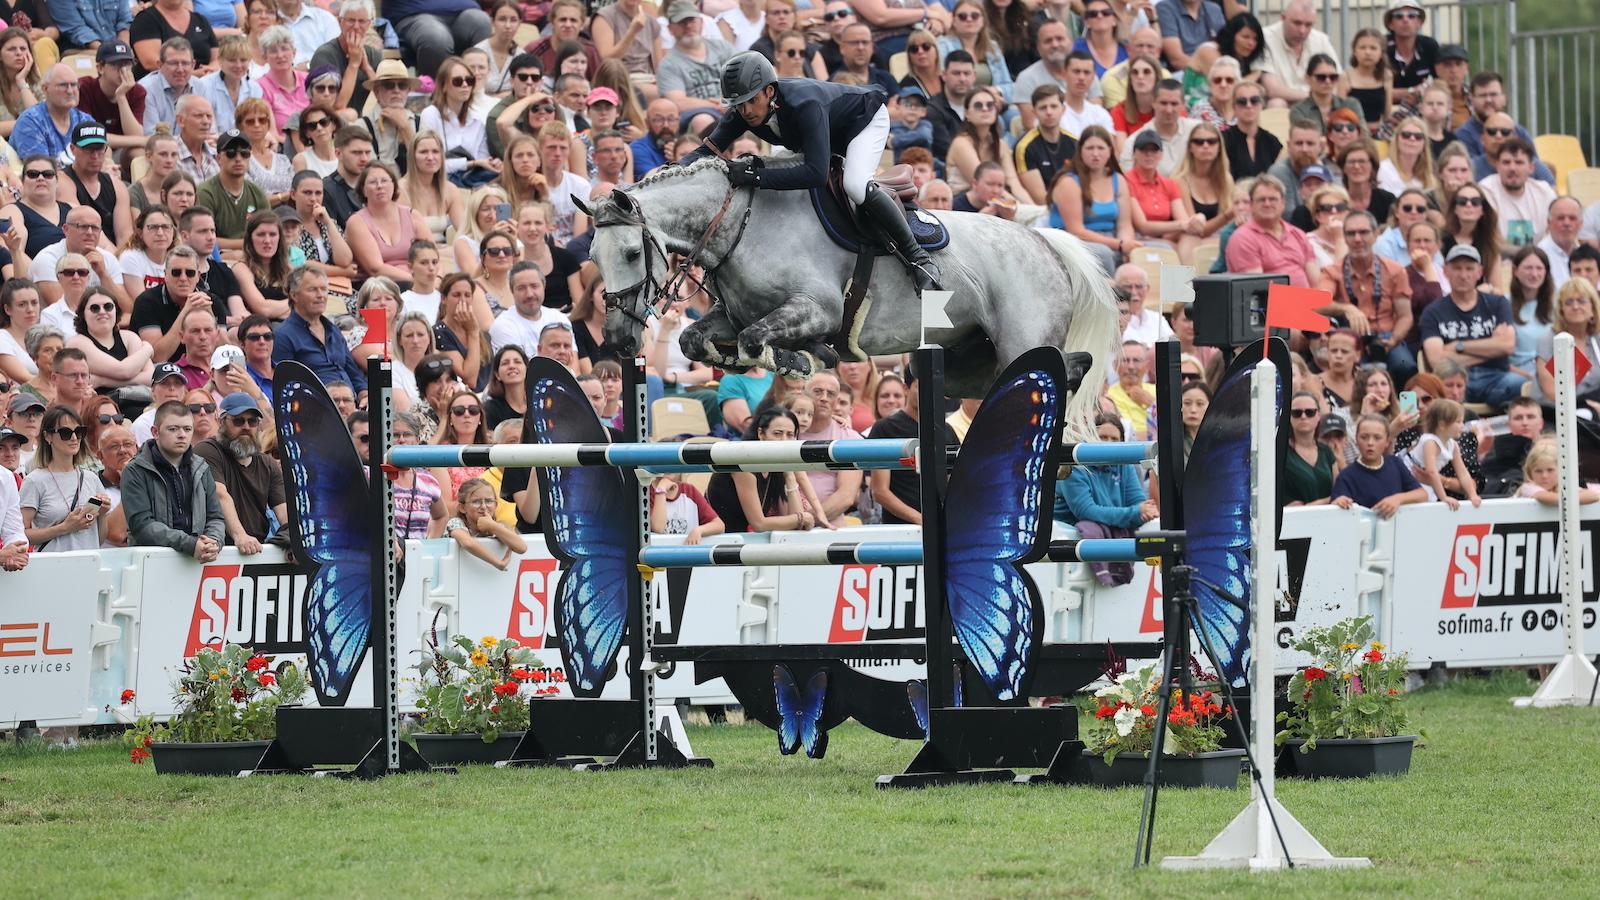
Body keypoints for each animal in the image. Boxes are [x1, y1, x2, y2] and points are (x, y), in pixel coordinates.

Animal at [582, 155, 1120, 425]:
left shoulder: (817, 308)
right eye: (593, 258)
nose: (620, 340)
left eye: (629, 254)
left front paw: (799, 358)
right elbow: (699, 339)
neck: (743, 224)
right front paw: (775, 358)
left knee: (1063, 365)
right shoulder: (732, 316)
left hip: (1022, 339)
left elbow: (760, 340)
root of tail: (1043, 241)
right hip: (966, 361)